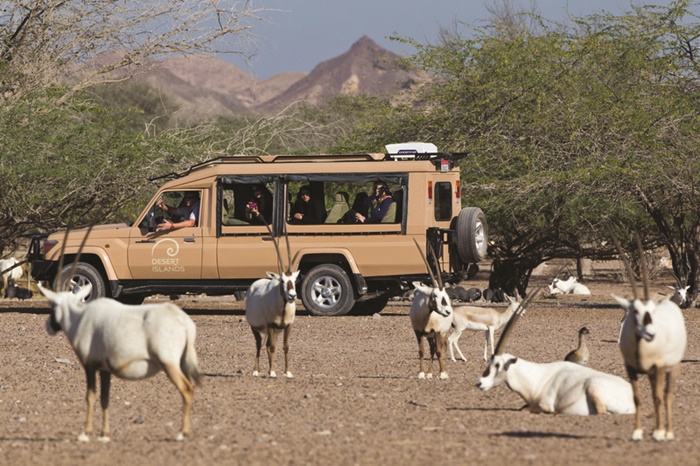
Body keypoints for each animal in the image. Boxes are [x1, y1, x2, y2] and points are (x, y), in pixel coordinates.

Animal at [410, 240, 454, 378]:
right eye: (434, 295)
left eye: (445, 296)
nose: (447, 311)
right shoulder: (418, 332)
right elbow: (421, 351)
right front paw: (421, 373)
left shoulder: (437, 331)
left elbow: (439, 351)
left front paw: (443, 373)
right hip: (429, 336)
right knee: (432, 349)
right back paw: (429, 373)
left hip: (442, 334)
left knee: (439, 349)